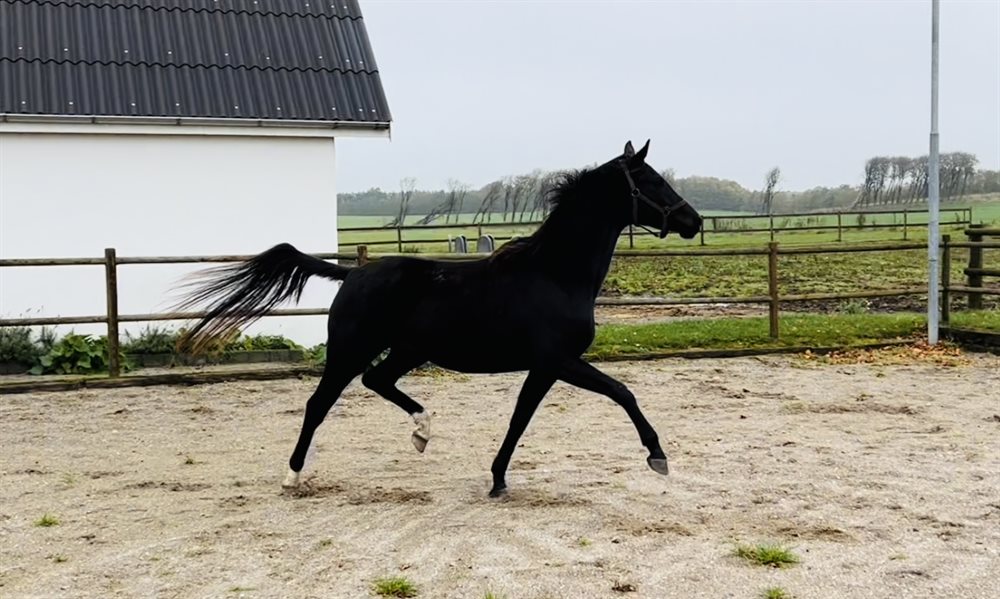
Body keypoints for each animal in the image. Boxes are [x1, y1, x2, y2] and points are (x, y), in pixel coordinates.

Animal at [173, 140, 703, 497]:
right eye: (652, 181)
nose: (693, 221)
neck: (555, 273)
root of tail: (353, 273)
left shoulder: (545, 367)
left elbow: (521, 419)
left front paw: (497, 479)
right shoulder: (559, 361)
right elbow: (621, 392)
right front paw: (658, 456)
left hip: (407, 350)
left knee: (377, 381)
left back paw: (422, 431)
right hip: (351, 349)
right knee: (318, 403)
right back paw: (293, 475)